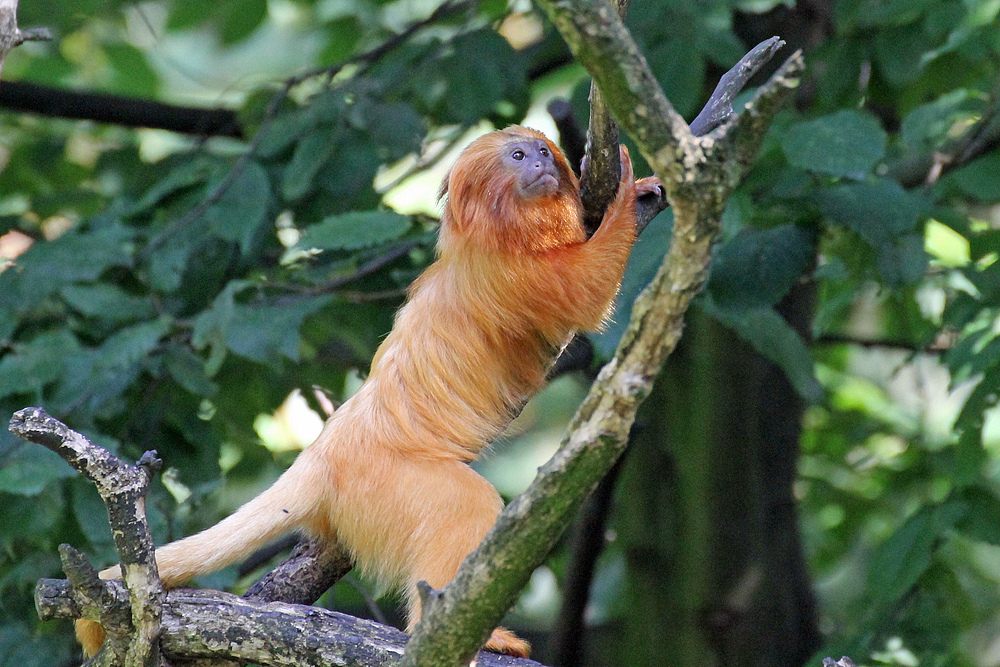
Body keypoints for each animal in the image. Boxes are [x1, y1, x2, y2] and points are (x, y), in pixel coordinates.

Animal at [76, 128, 656, 660]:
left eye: (542, 152)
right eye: (518, 156)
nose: (541, 162)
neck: (492, 233)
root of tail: (323, 454)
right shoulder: (515, 276)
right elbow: (586, 294)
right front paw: (629, 198)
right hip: (385, 486)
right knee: (465, 505)